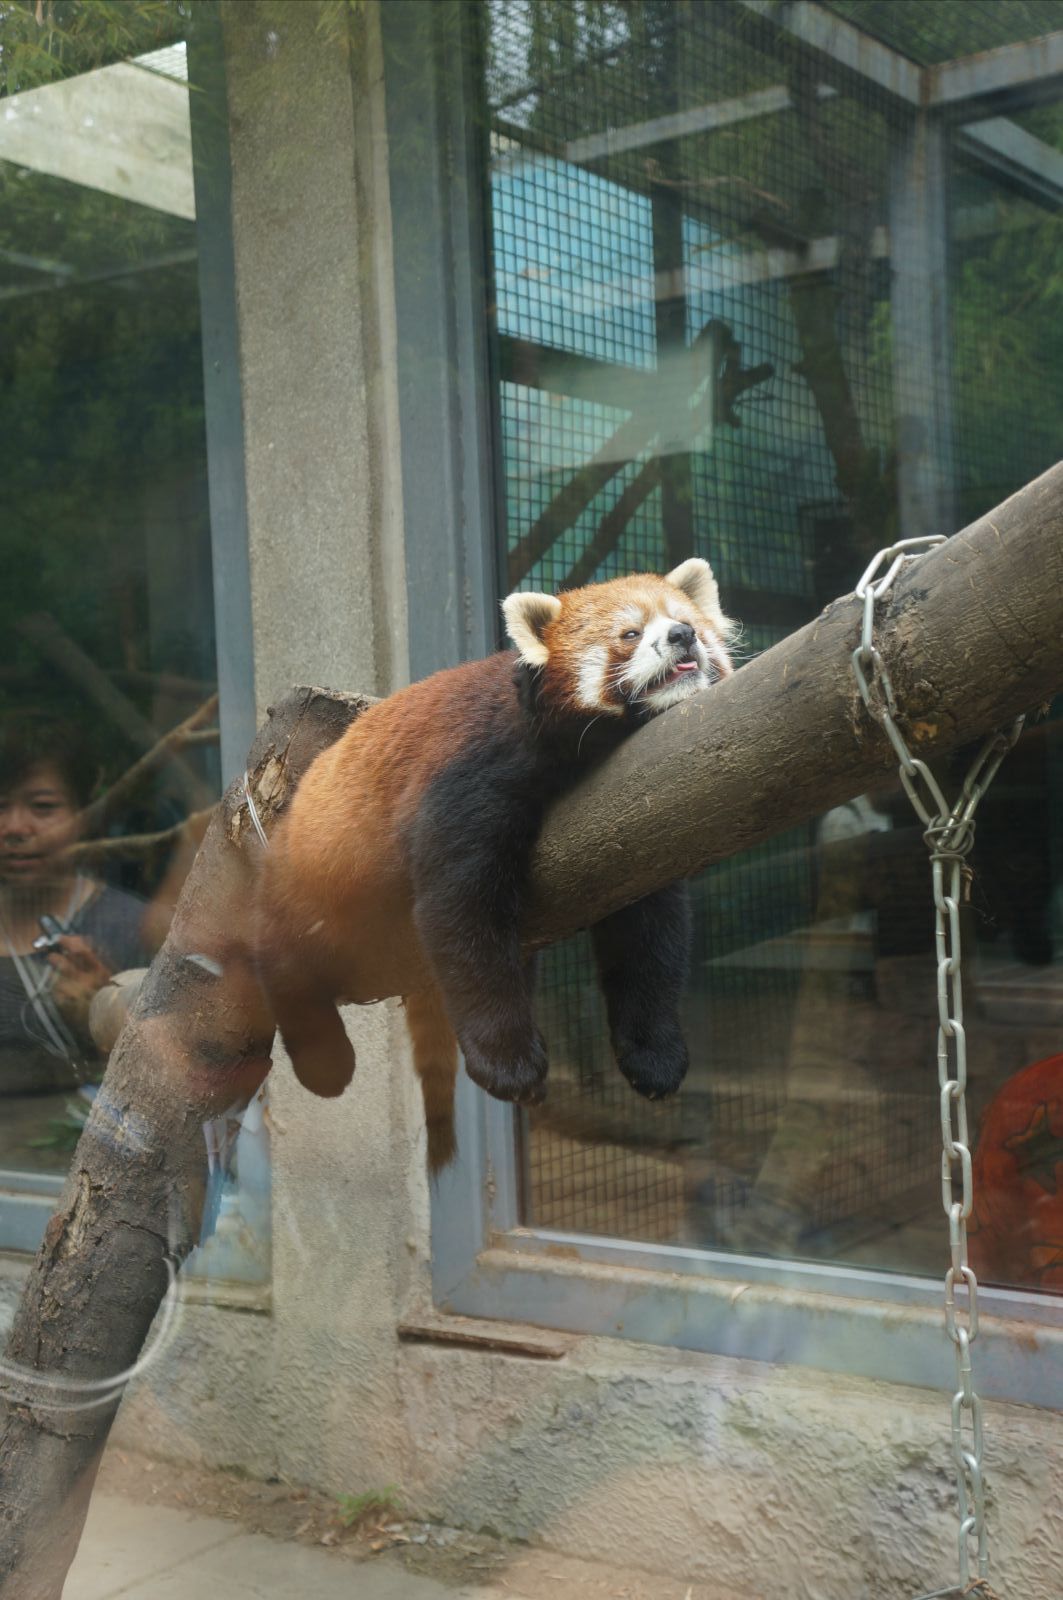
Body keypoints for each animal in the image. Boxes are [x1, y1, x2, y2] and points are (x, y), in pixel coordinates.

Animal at [260, 563, 736, 1177]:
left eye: (687, 620)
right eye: (630, 633)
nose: (682, 636)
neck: (589, 751)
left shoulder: (641, 815)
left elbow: (651, 937)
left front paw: (655, 1056)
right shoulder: (470, 775)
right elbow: (462, 916)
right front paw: (508, 1065)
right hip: (310, 871)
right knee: (286, 954)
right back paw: (326, 1059)